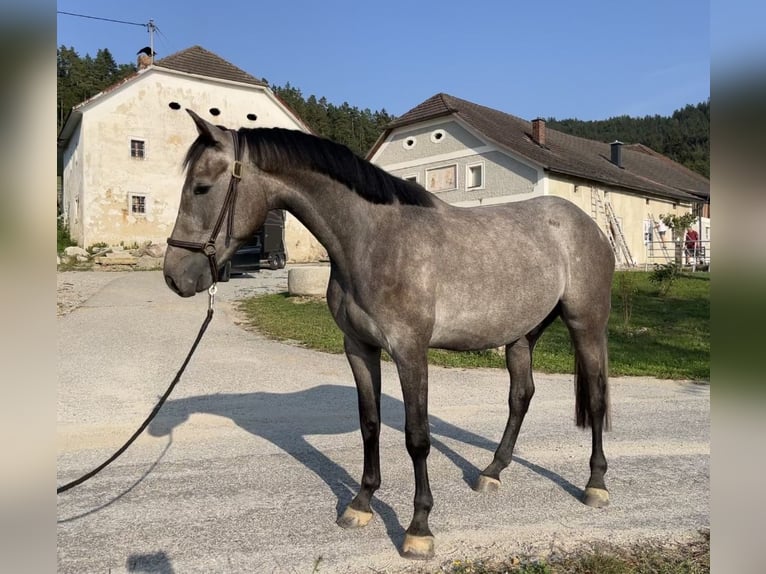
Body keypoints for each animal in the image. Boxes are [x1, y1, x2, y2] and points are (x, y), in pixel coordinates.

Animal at [165, 110, 616, 560]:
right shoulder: (359, 348)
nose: (174, 276)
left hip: (586, 324)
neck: (373, 240)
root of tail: (589, 227)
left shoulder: (409, 351)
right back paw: (492, 472)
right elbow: (370, 423)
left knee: (595, 397)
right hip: (522, 334)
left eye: (201, 187)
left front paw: (419, 528)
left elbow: (417, 437)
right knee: (520, 396)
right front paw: (361, 504)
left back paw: (595, 485)